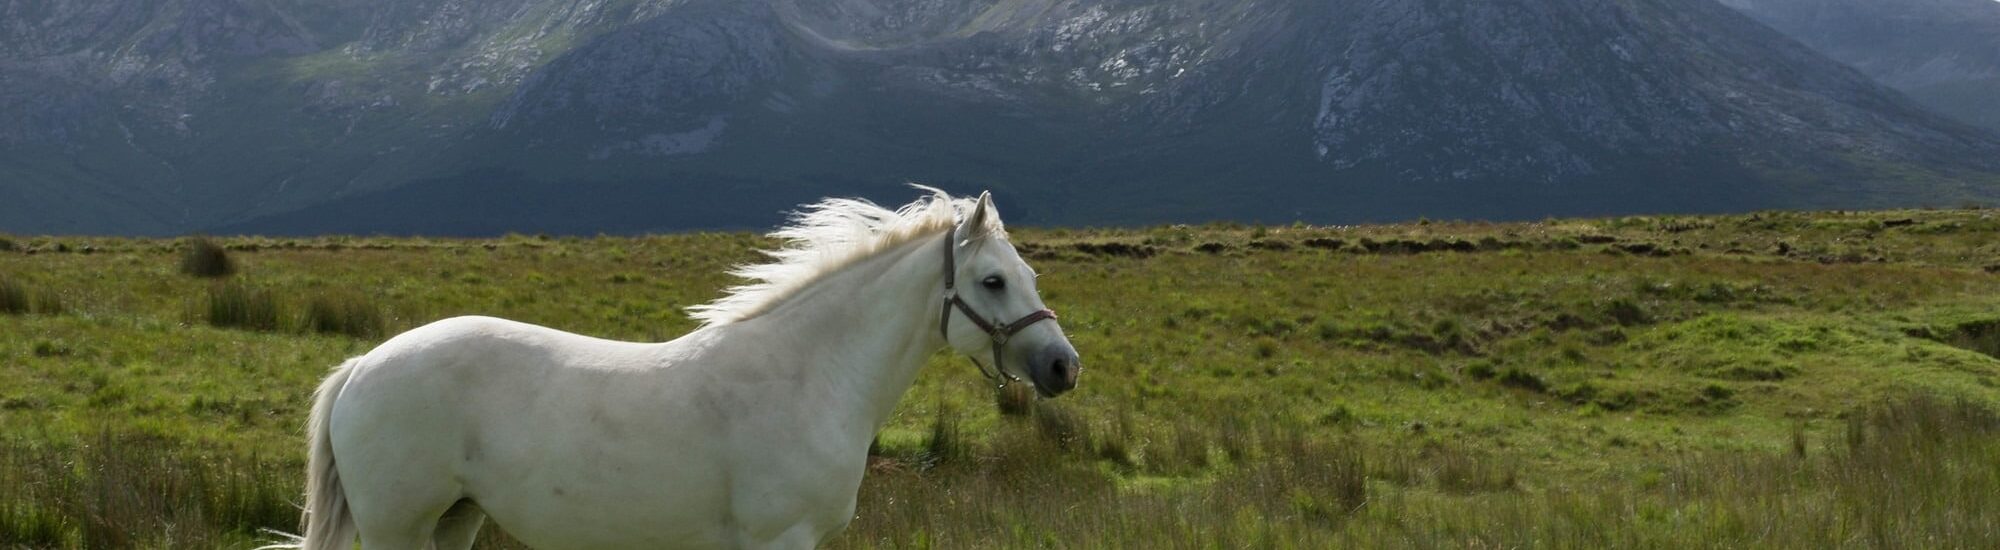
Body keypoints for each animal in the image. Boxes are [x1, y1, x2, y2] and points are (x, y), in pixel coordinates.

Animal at [261, 188, 1081, 549]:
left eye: (1028, 273)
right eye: (993, 282)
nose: (1063, 366)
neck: (805, 377)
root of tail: (362, 365)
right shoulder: (778, 541)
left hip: (454, 523)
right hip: (396, 527)